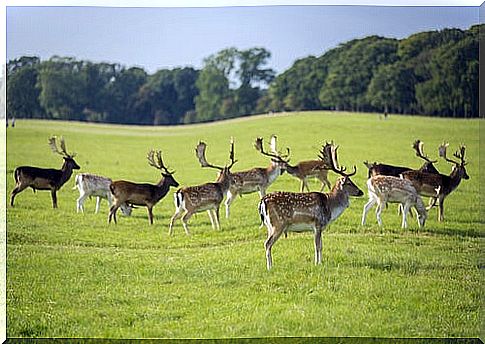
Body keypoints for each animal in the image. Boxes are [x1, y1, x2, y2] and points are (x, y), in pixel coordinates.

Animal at [258, 141, 364, 270]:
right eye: (349, 183)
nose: (361, 192)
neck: (330, 207)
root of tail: (263, 201)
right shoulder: (317, 224)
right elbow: (317, 245)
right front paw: (317, 263)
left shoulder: (320, 227)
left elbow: (321, 246)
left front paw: (320, 262)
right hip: (278, 224)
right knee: (267, 243)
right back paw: (270, 268)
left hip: (269, 225)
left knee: (267, 243)